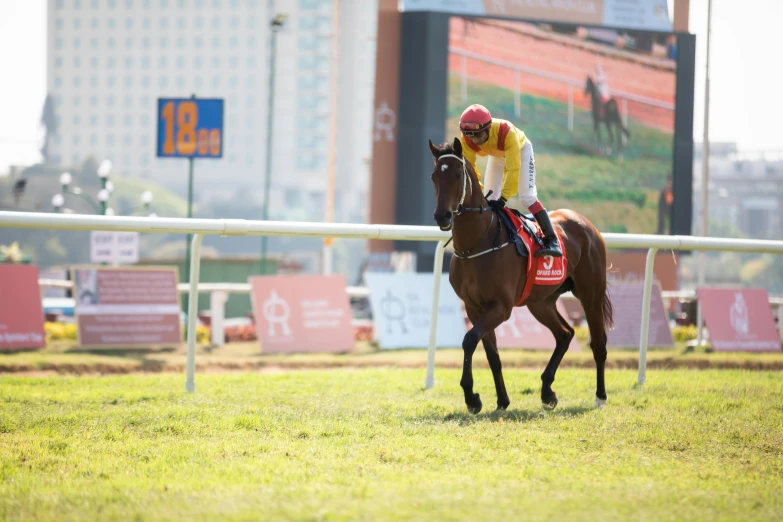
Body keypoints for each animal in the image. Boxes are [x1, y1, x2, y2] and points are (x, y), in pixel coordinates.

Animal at [428, 139, 612, 414]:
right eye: (434, 176)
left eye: (458, 175)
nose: (443, 216)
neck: (477, 244)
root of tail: (587, 224)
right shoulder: (474, 307)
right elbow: (491, 354)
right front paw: (501, 400)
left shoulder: (501, 307)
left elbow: (469, 340)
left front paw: (472, 397)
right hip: (541, 302)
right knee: (565, 334)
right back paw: (547, 391)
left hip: (591, 293)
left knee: (598, 343)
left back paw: (600, 396)